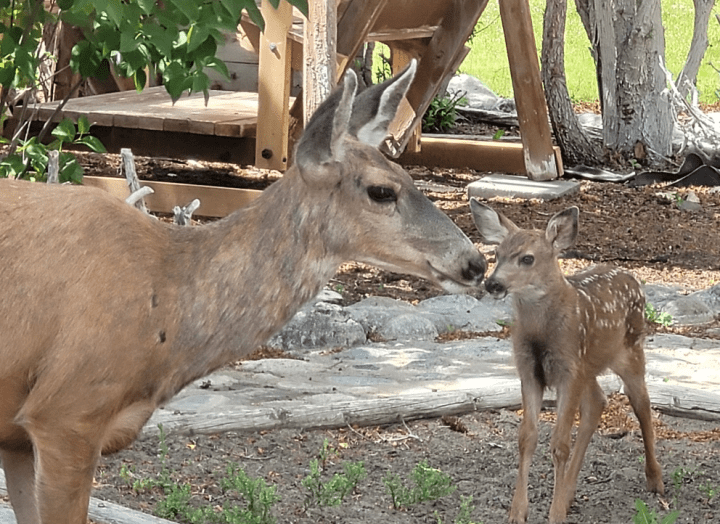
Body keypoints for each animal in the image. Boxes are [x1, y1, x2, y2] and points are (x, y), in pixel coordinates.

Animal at [0, 62, 486, 524]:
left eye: (406, 173)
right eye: (382, 190)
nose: (475, 263)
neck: (165, 300)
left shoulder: (19, 436)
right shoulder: (65, 411)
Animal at [466, 199, 664, 520]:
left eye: (528, 259)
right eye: (497, 254)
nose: (493, 284)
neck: (541, 333)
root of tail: (632, 275)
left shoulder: (568, 370)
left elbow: (559, 443)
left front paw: (554, 514)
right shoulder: (530, 371)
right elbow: (527, 437)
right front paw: (518, 512)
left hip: (631, 350)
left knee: (643, 406)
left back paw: (655, 479)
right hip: (588, 366)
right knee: (598, 402)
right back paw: (570, 494)